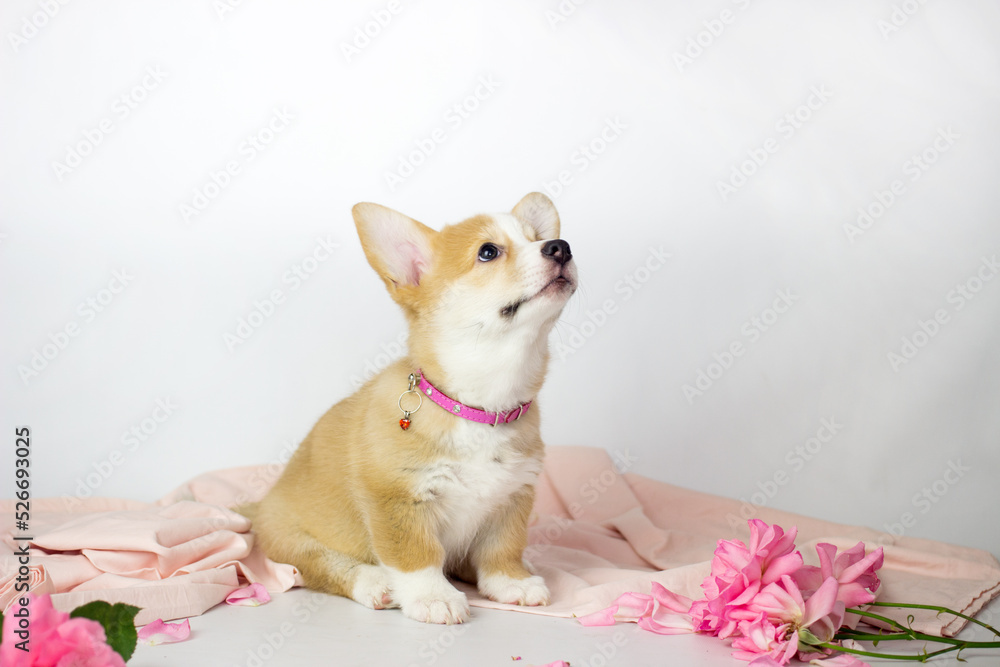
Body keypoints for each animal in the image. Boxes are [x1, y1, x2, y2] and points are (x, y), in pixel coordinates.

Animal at [252, 193, 580, 628]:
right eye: (488, 252)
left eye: (537, 237)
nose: (560, 246)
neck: (478, 407)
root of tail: (258, 507)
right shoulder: (396, 499)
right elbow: (416, 555)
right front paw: (433, 596)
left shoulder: (512, 498)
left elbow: (503, 548)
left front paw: (511, 581)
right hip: (289, 538)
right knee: (320, 565)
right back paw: (374, 582)